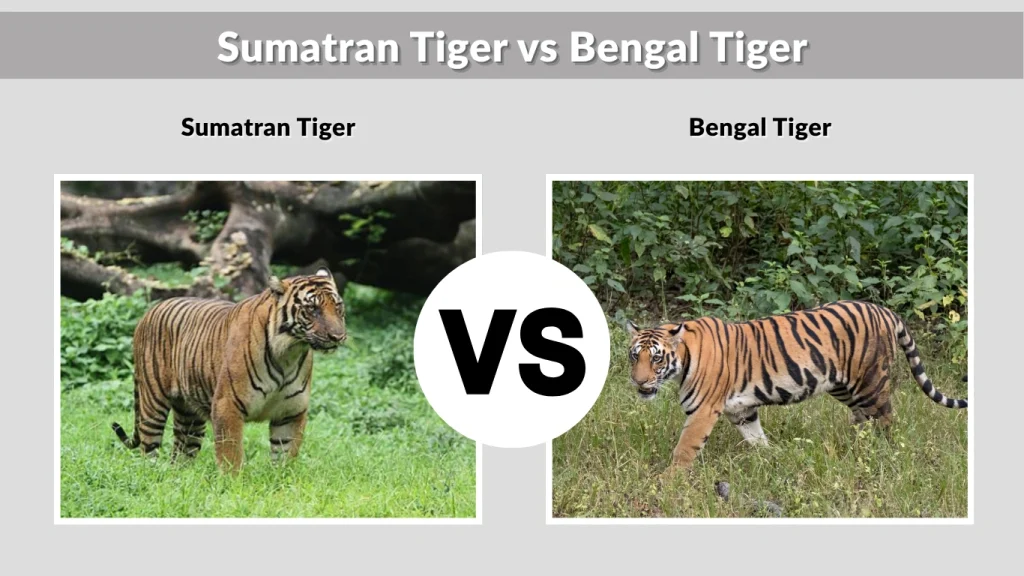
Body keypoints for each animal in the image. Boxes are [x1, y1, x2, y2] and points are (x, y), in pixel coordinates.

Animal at [111, 267, 347, 473]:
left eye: (338, 307)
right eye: (312, 309)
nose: (338, 337)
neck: (289, 352)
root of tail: (150, 310)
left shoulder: (291, 412)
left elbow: (285, 453)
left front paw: (282, 479)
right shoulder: (228, 405)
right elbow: (230, 453)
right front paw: (234, 485)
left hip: (189, 415)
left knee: (181, 452)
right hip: (153, 402)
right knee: (148, 448)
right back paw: (151, 475)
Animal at [626, 300, 967, 472]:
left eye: (656, 359)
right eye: (634, 356)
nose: (639, 381)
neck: (683, 360)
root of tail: (885, 310)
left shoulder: (703, 411)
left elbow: (684, 450)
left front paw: (668, 482)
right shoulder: (742, 411)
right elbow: (756, 438)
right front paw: (771, 457)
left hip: (870, 382)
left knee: (885, 420)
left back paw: (880, 455)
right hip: (843, 386)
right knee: (862, 419)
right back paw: (855, 448)